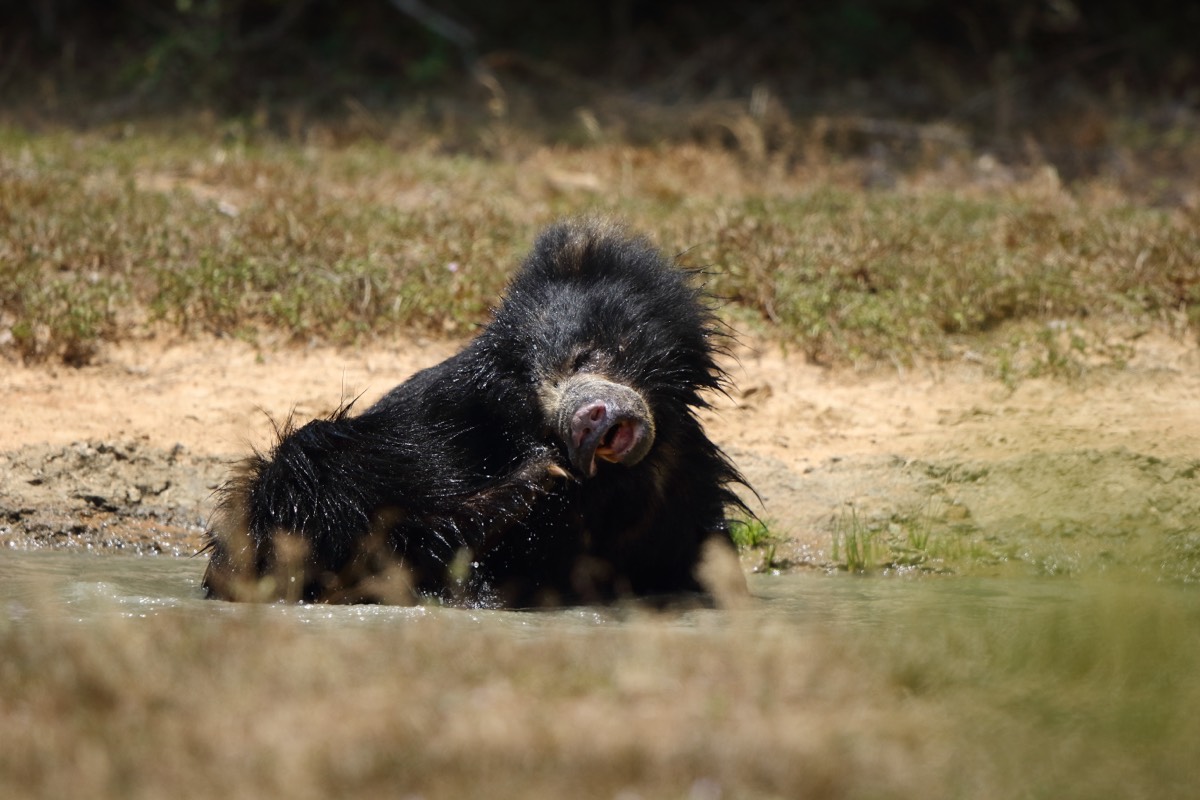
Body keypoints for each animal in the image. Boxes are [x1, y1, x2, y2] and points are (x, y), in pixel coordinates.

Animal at [202, 219, 750, 607]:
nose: (587, 420)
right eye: (536, 406)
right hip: (297, 492)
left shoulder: (682, 476)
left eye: (582, 357)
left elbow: (701, 559)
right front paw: (540, 478)